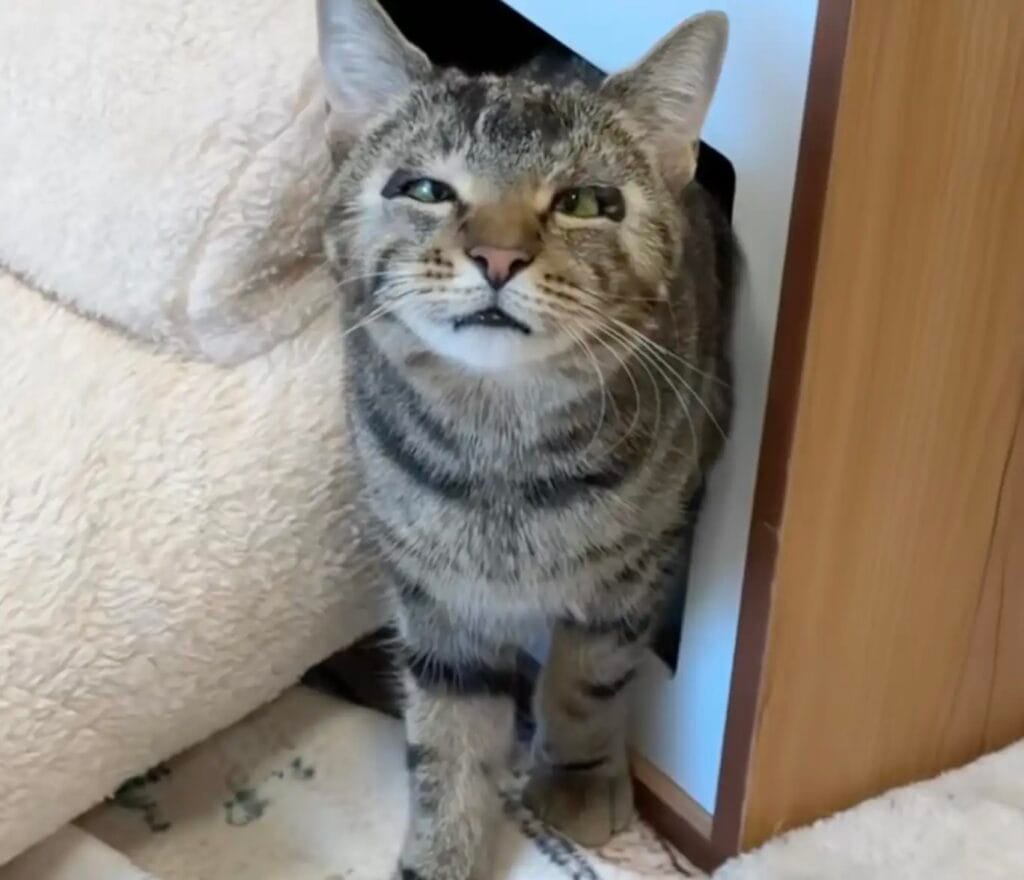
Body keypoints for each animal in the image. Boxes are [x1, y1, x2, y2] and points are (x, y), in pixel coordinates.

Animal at [317, 1, 736, 877]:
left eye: (586, 202)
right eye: (425, 189)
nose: (499, 255)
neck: (501, 446)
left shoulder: (638, 566)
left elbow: (587, 677)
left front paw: (577, 778)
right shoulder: (435, 593)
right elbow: (448, 733)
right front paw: (442, 851)